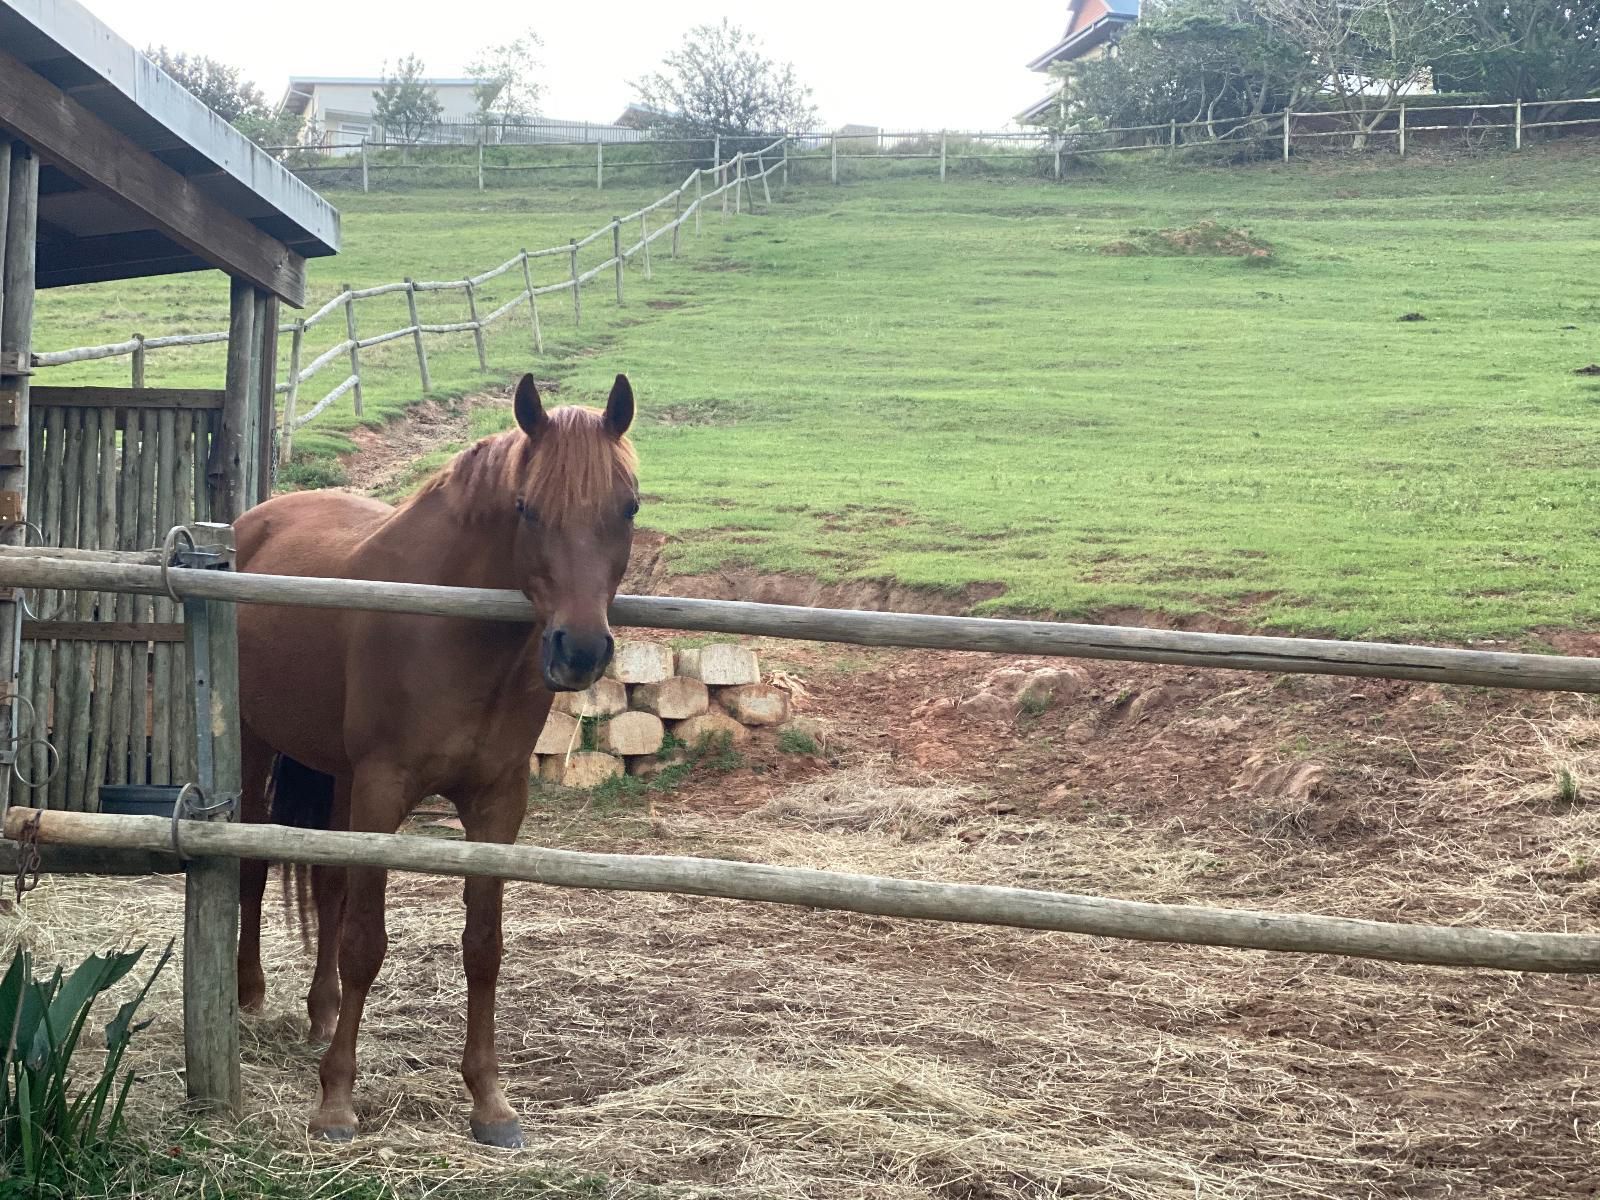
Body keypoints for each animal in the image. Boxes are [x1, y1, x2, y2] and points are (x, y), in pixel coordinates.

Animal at [233, 374, 640, 1145]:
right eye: (526, 508)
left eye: (628, 507)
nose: (579, 651)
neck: (458, 630)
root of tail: (256, 520)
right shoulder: (384, 790)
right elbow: (366, 941)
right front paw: (336, 1100)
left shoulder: (497, 803)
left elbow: (483, 945)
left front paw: (490, 1101)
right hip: (254, 746)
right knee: (252, 866)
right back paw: (247, 1000)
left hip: (337, 776)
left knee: (327, 884)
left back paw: (320, 1013)